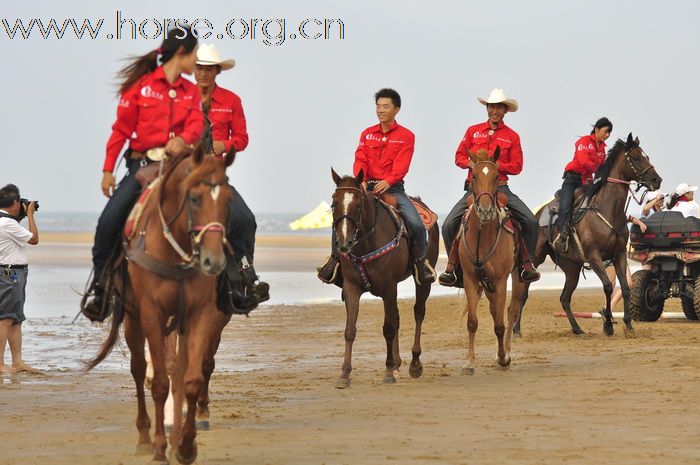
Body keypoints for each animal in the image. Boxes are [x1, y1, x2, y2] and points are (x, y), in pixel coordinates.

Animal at [87, 145, 235, 464]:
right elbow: (159, 383)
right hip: (134, 320)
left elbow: (190, 379)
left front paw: (186, 446)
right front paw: (158, 448)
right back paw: (144, 436)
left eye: (228, 200)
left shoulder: (199, 315)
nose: (214, 261)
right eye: (194, 198)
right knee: (140, 368)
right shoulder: (152, 315)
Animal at [332, 169, 440, 386]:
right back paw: (398, 365)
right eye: (333, 203)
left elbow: (388, 328)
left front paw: (389, 372)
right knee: (397, 317)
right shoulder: (351, 288)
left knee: (418, 312)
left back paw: (414, 364)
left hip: (422, 282)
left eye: (358, 204)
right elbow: (350, 330)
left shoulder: (389, 287)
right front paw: (345, 374)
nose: (344, 243)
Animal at [456, 149, 524, 374]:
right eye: (474, 176)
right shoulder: (470, 280)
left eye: (496, 177)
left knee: (510, 312)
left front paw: (503, 358)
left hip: (518, 277)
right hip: (486, 285)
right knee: (496, 311)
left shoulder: (501, 281)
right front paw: (469, 362)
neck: (482, 235)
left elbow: (500, 324)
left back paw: (505, 353)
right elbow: (472, 322)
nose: (485, 210)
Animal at [516, 132, 660, 336]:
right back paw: (516, 329)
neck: (607, 210)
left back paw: (577, 329)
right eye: (635, 158)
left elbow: (624, 288)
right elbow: (607, 287)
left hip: (572, 268)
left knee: (564, 298)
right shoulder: (593, 256)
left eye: (646, 156)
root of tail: (537, 215)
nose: (657, 180)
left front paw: (628, 325)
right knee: (523, 292)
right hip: (535, 258)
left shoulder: (618, 255)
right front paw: (608, 325)